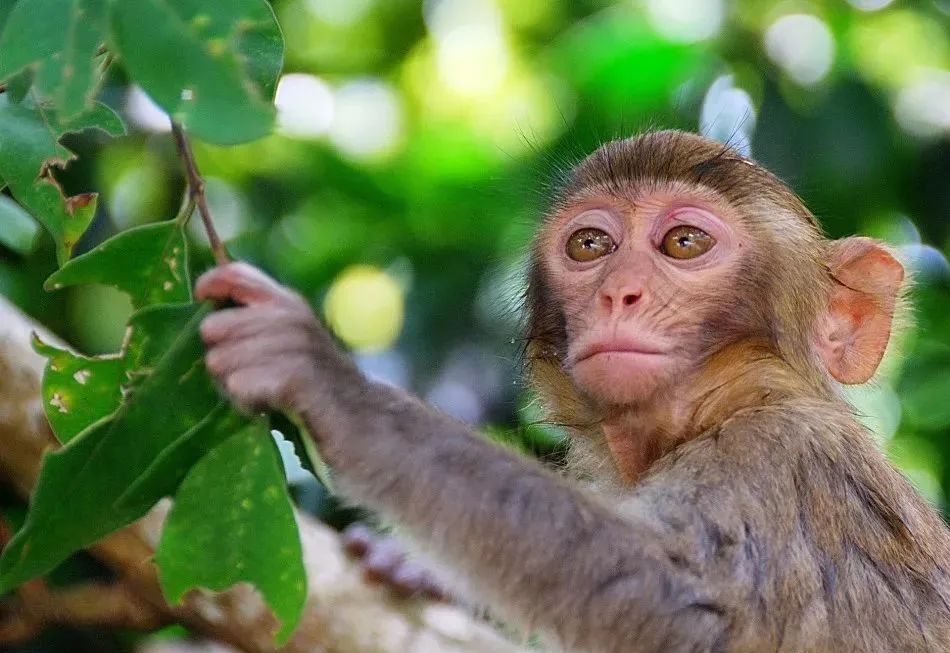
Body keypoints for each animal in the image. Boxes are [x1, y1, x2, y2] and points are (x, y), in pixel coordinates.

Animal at [195, 129, 950, 652]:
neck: (721, 407)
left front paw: (335, 389)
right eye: (590, 245)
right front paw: (415, 568)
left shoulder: (778, 461)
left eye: (683, 242)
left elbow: (674, 603)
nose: (620, 292)